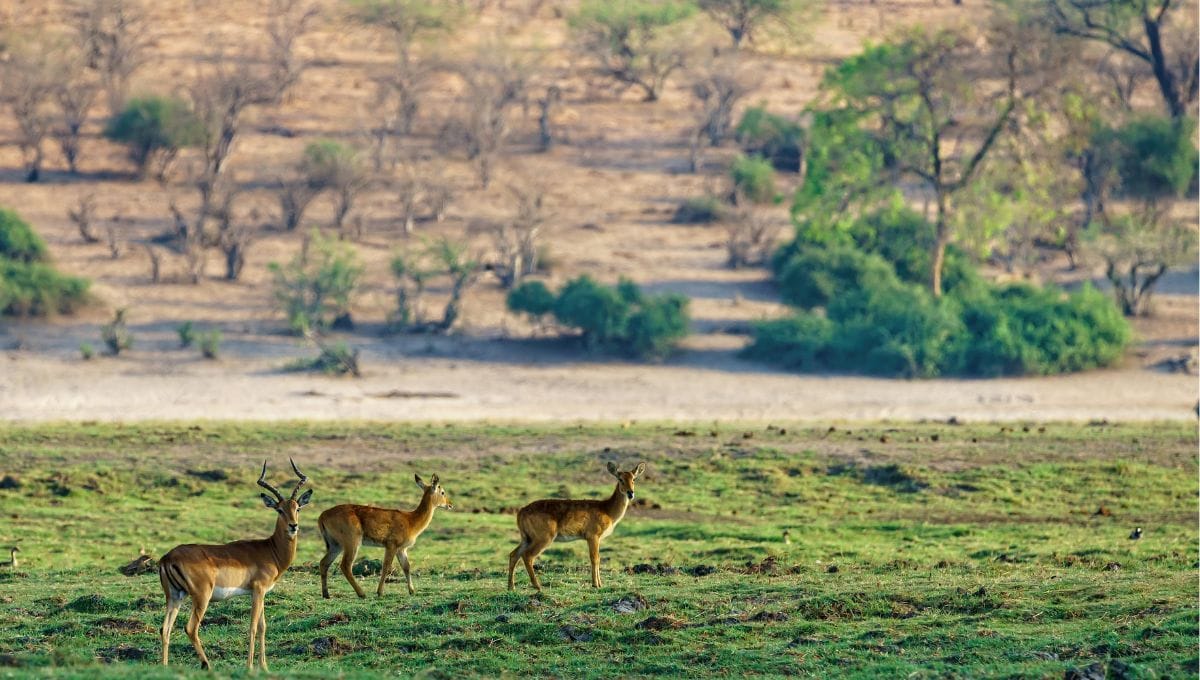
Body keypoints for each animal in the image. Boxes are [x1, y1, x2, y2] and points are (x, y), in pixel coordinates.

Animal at [157, 458, 312, 671]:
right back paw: (207, 665)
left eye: (297, 508)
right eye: (279, 509)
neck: (270, 550)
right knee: (190, 628)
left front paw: (264, 667)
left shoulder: (260, 593)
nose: (293, 526)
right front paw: (250, 667)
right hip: (201, 597)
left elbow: (263, 627)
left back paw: (164, 667)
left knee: (165, 628)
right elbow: (253, 627)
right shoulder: (258, 590)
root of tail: (167, 557)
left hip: (174, 596)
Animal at [316, 477, 451, 599]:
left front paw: (412, 591)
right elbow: (386, 566)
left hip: (336, 545)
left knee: (324, 563)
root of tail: (322, 515)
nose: (450, 505)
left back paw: (326, 594)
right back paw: (362, 594)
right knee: (345, 565)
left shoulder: (401, 549)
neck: (411, 520)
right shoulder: (391, 545)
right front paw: (380, 592)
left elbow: (406, 567)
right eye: (442, 492)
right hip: (352, 543)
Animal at [508, 460, 648, 592]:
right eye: (620, 479)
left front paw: (600, 584)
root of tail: (521, 512)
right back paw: (537, 586)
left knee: (514, 554)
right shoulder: (593, 536)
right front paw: (596, 584)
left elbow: (598, 558)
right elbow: (595, 558)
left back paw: (511, 586)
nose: (630, 493)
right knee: (527, 556)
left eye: (634, 479)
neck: (607, 510)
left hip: (526, 538)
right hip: (543, 538)